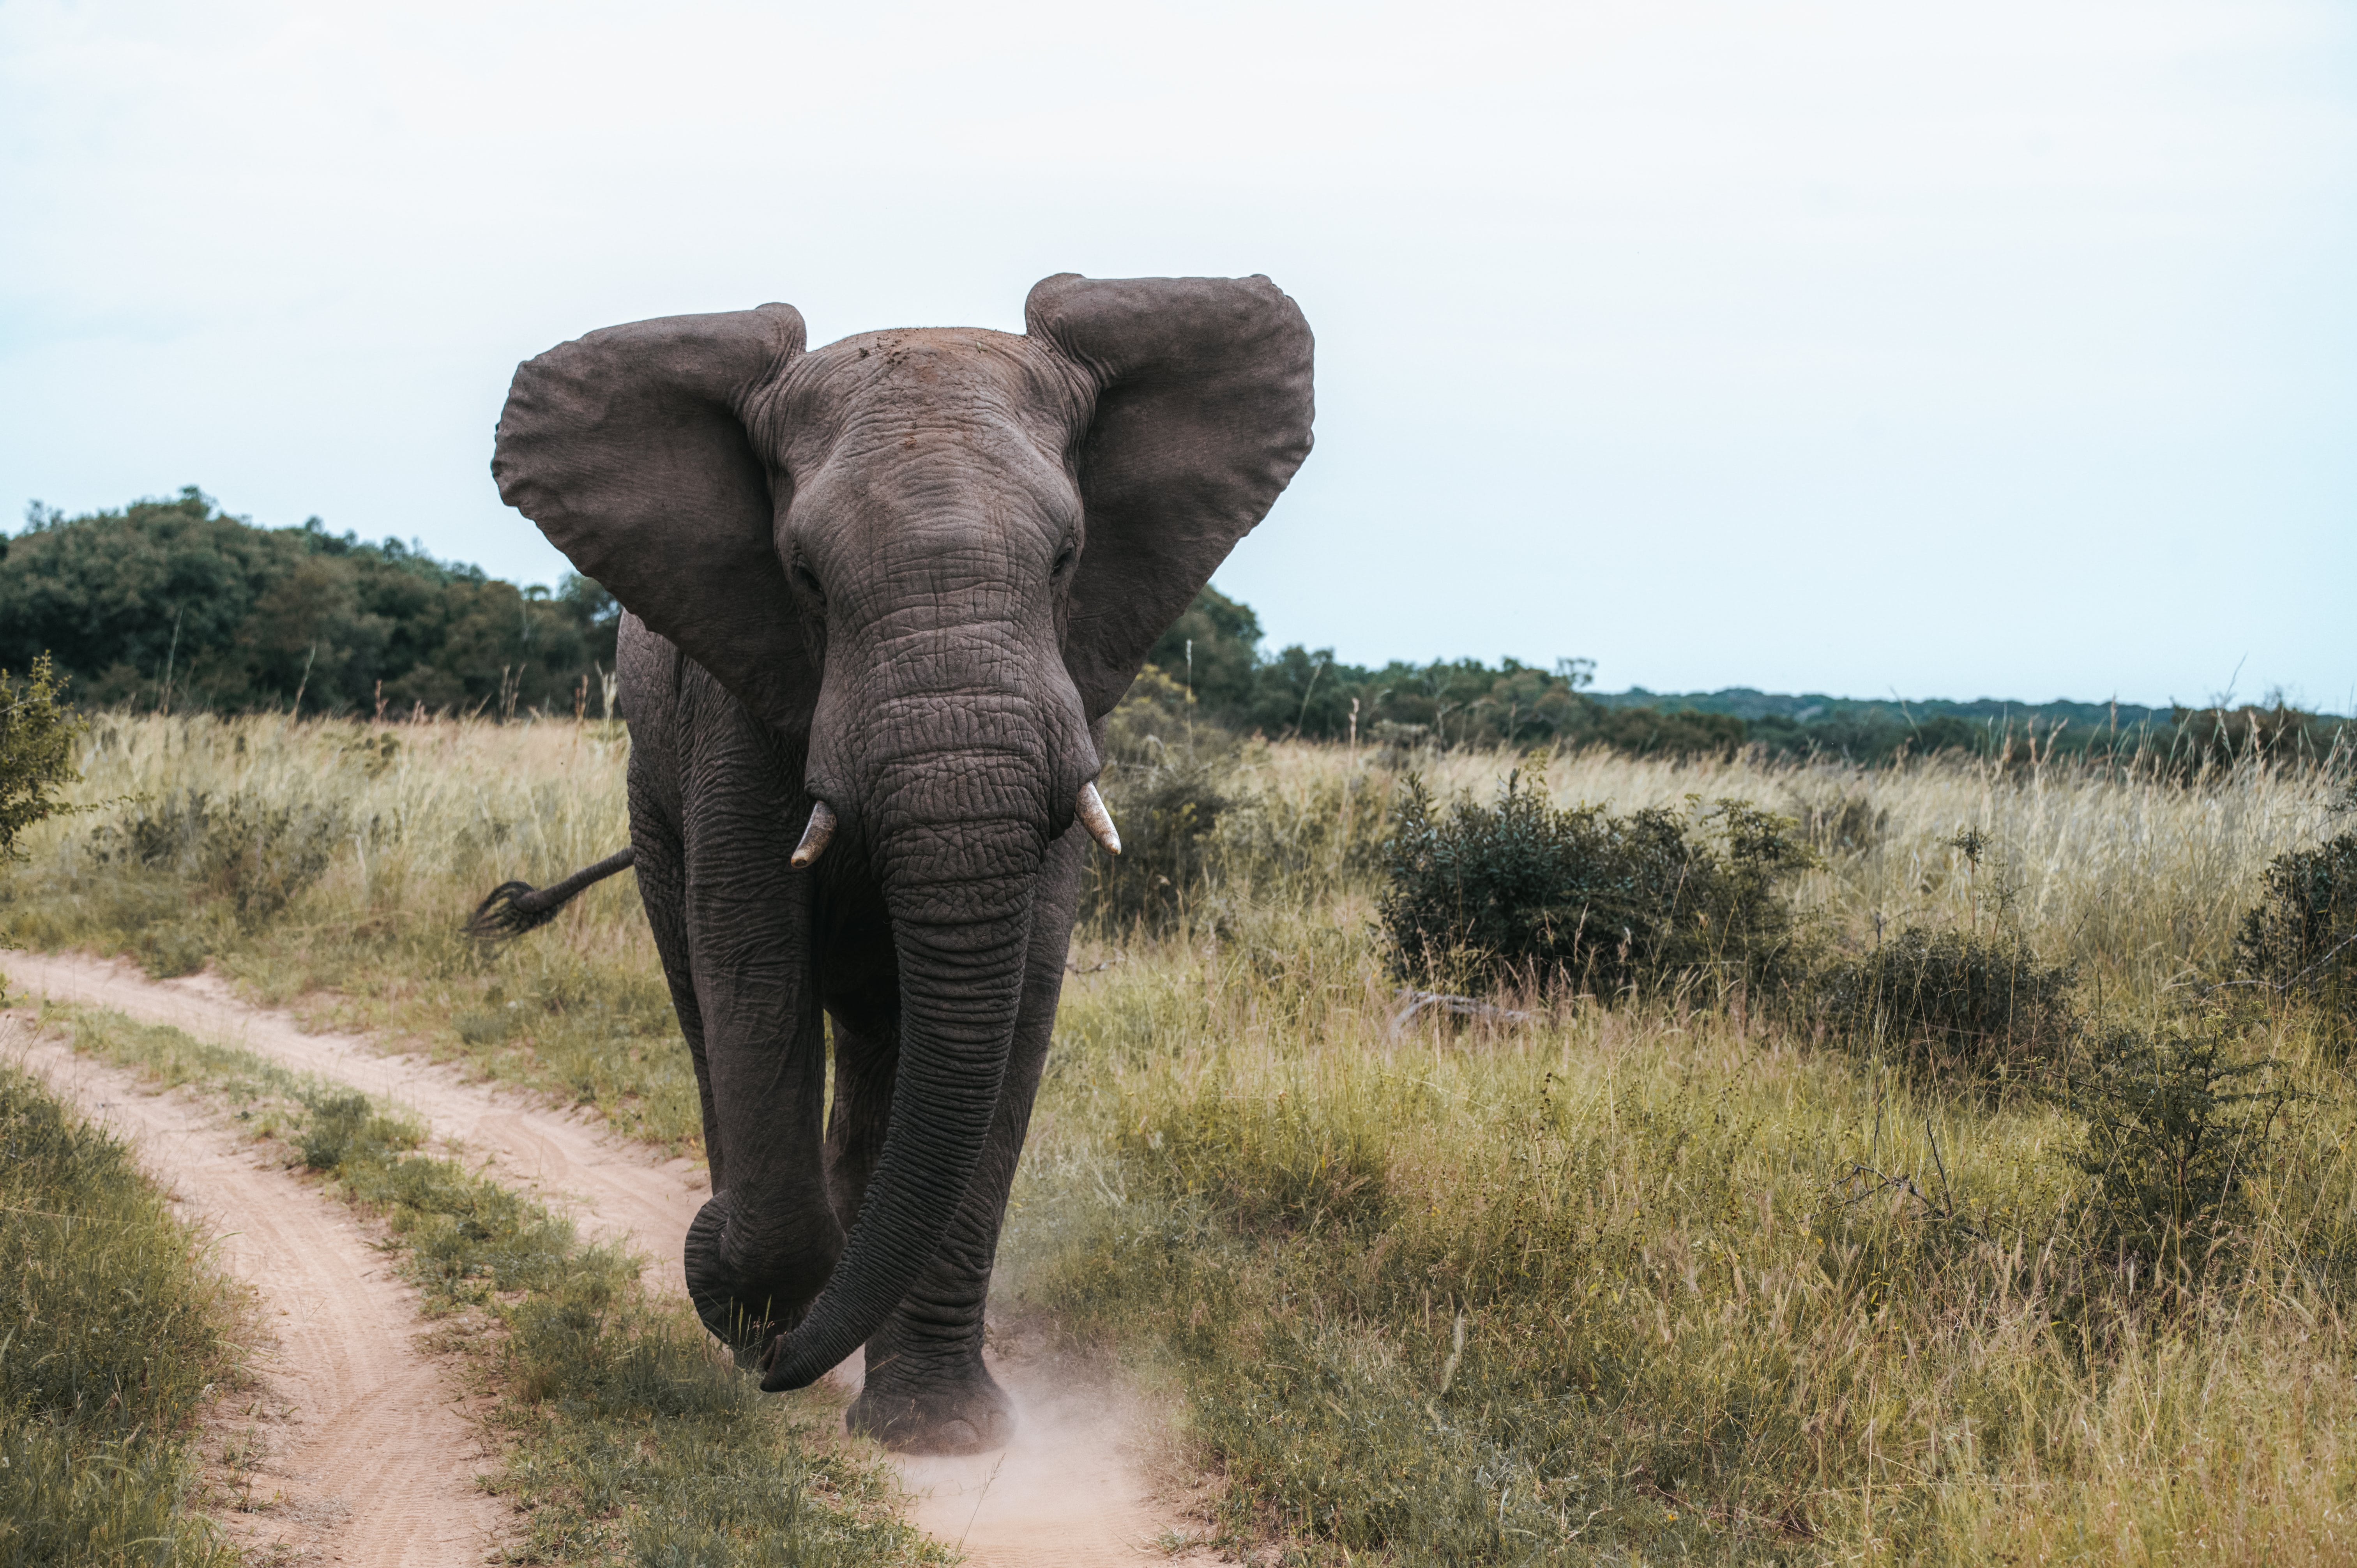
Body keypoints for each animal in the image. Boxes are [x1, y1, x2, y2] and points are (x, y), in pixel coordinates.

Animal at [476, 273, 1313, 1454]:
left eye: (1068, 559)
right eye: (804, 577)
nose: (771, 1352)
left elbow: (1018, 1002)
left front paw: (941, 1437)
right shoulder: (739, 709)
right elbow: (754, 969)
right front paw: (750, 1301)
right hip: (652, 793)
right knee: (708, 1007)